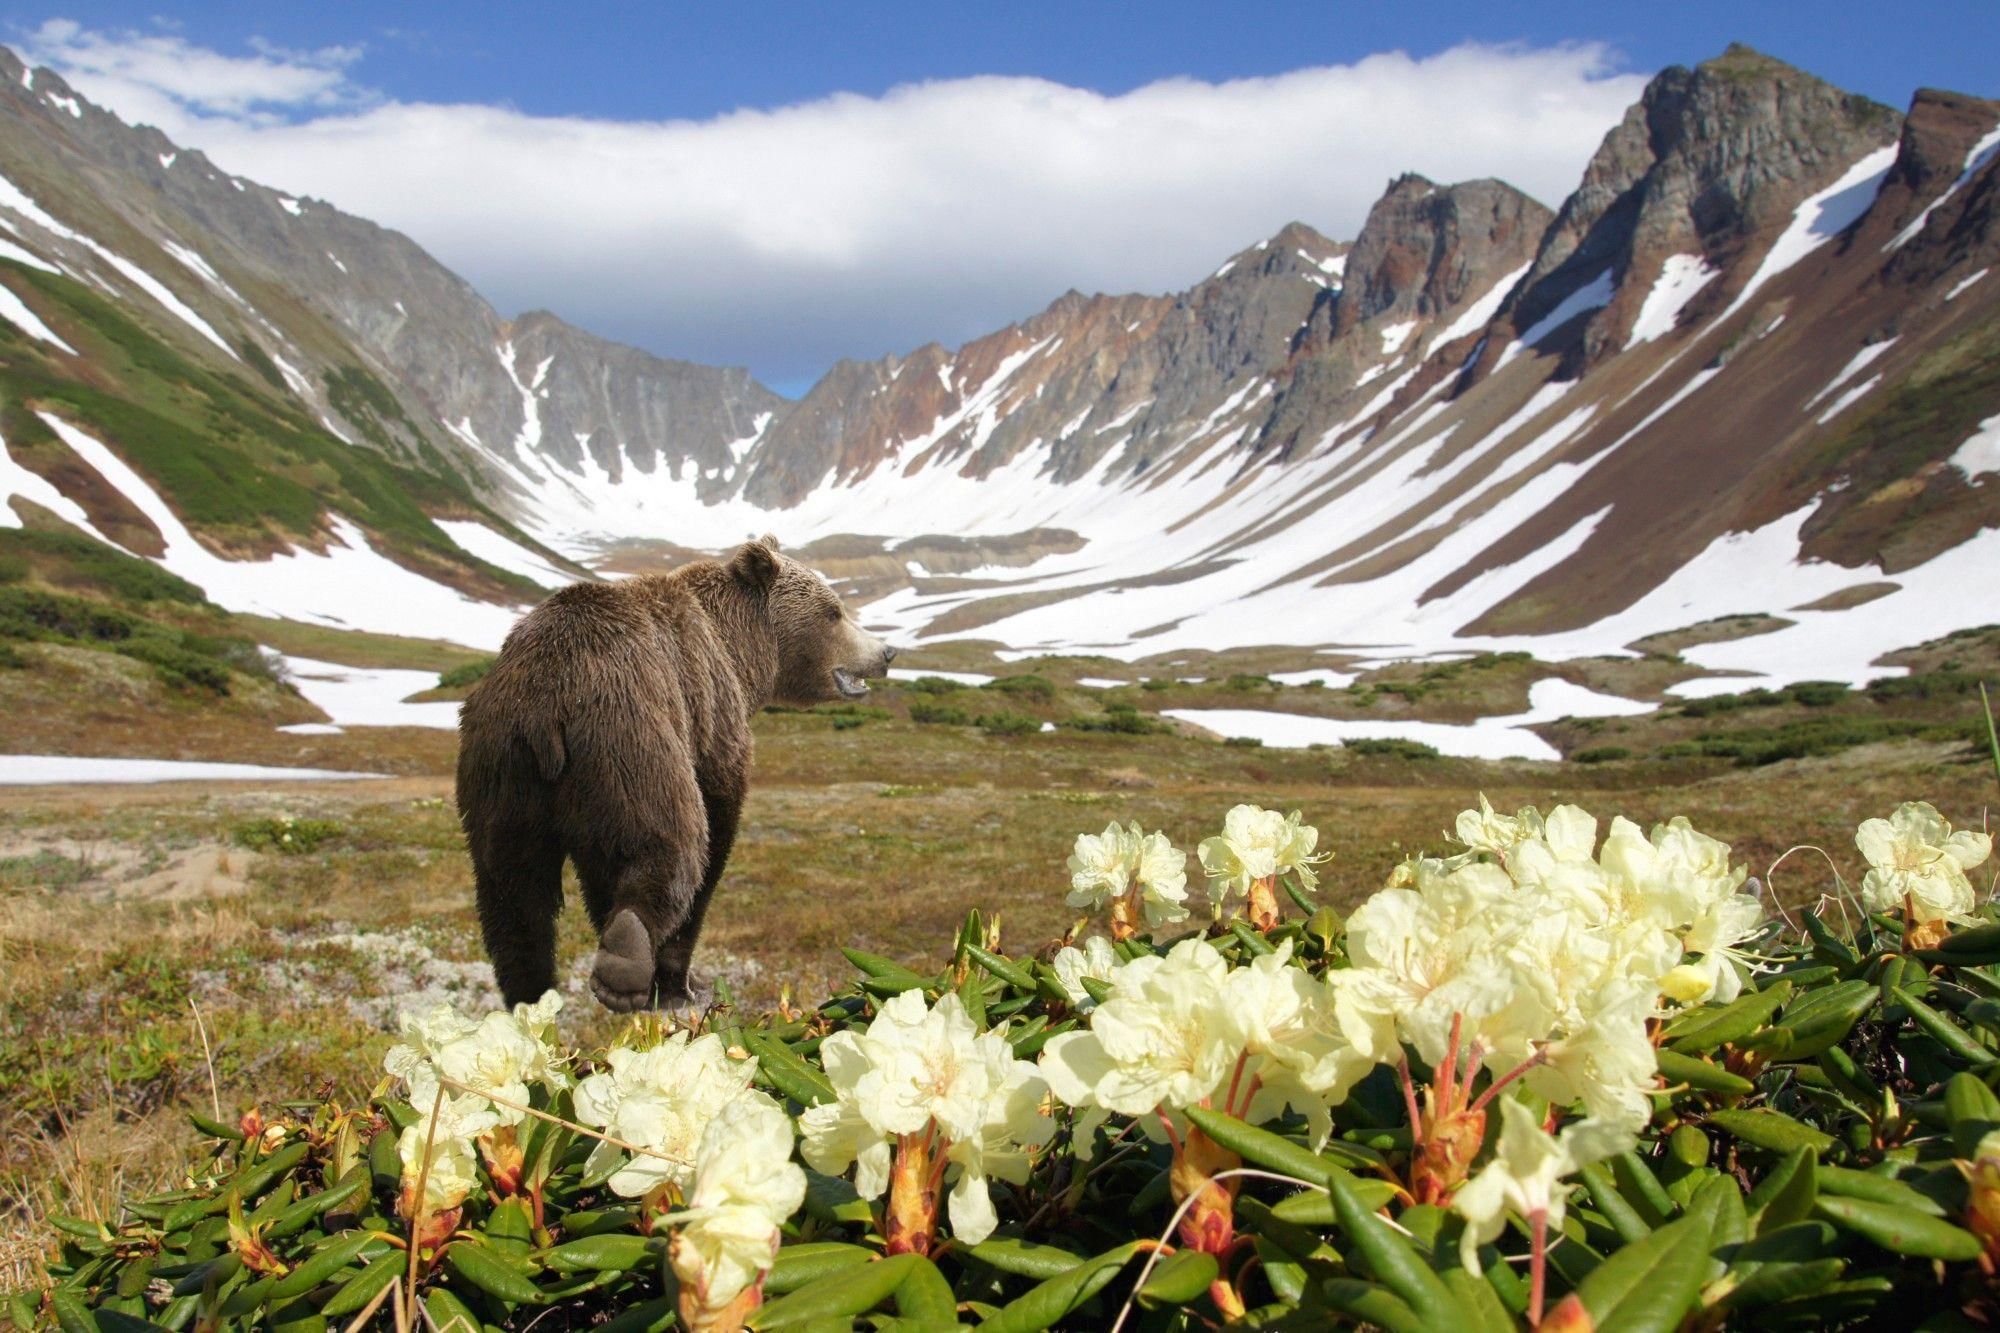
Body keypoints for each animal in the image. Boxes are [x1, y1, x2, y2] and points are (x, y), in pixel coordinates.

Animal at [458, 532, 896, 1008]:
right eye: (834, 610)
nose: (887, 651)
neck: (743, 652)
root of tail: (547, 700)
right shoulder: (711, 715)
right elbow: (716, 821)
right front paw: (683, 982)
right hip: (631, 736)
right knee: (669, 839)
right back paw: (626, 962)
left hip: (501, 774)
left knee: (513, 893)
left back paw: (530, 993)